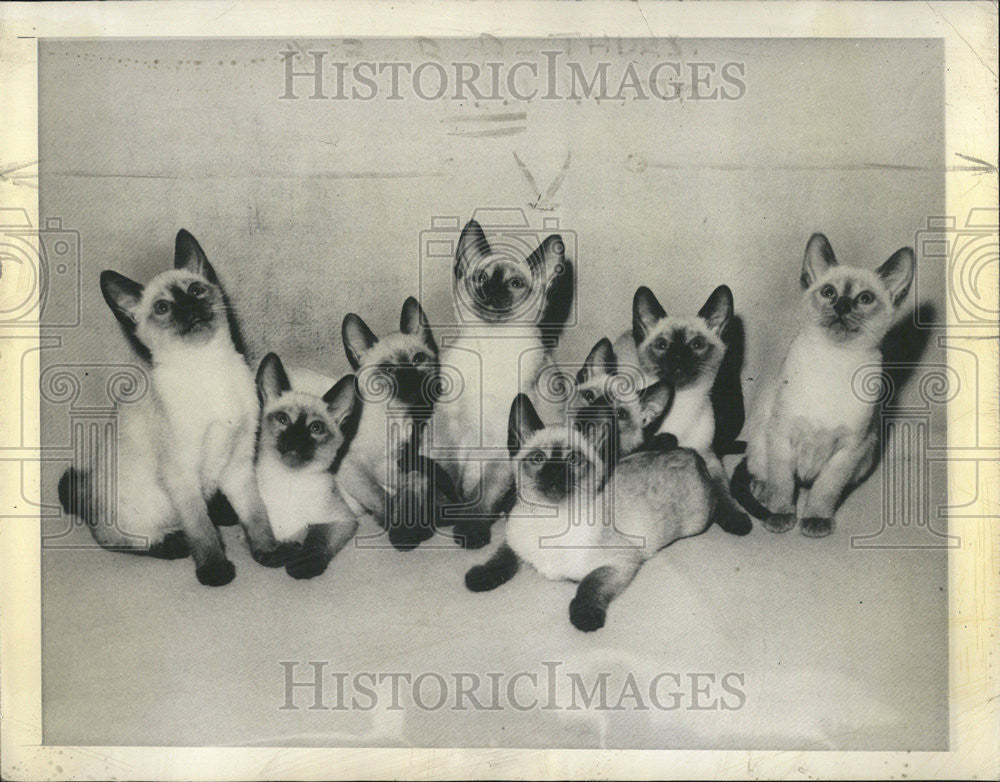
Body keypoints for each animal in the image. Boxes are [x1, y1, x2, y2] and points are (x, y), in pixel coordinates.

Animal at [58, 230, 288, 584]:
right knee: (116, 539)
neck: (208, 366)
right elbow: (202, 529)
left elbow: (256, 514)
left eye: (195, 290)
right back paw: (172, 544)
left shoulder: (238, 463)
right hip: (140, 513)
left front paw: (268, 553)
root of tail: (89, 499)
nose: (188, 307)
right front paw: (215, 571)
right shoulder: (182, 474)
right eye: (163, 308)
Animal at [254, 356, 360, 580]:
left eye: (315, 428)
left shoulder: (341, 520)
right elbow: (261, 548)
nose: (295, 439)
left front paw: (302, 564)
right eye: (283, 419)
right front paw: (284, 551)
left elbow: (316, 538)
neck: (290, 480)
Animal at [336, 298, 446, 556]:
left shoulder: (390, 463)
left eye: (417, 359)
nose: (410, 379)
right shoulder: (353, 467)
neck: (397, 416)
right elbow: (381, 499)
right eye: (387, 369)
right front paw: (404, 531)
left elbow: (415, 478)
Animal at [428, 219, 572, 552]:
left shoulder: (498, 441)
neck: (492, 348)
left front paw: (470, 530)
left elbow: (485, 492)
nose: (491, 291)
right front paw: (442, 512)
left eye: (515, 283)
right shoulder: (449, 430)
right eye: (481, 278)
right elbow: (448, 477)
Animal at [728, 233, 916, 540]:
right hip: (761, 431)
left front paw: (816, 519)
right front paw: (780, 515)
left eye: (865, 299)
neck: (833, 361)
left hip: (868, 453)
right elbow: (782, 483)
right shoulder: (782, 435)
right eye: (829, 292)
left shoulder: (849, 448)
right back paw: (761, 490)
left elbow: (826, 489)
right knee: (759, 469)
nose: (842, 306)